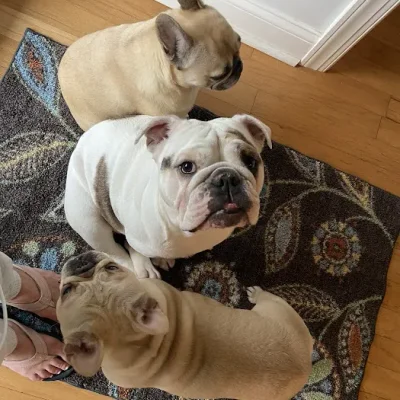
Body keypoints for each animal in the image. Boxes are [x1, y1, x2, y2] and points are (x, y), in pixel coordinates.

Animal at [57, 251, 313, 400]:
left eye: (112, 268)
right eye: (66, 290)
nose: (82, 261)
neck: (138, 340)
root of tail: (303, 366)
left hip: (275, 307)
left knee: (266, 298)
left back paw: (256, 293)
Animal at [64, 114, 272, 279]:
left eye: (250, 162)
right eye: (186, 167)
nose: (226, 177)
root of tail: (83, 139)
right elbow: (133, 248)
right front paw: (145, 264)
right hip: (89, 223)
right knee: (113, 249)